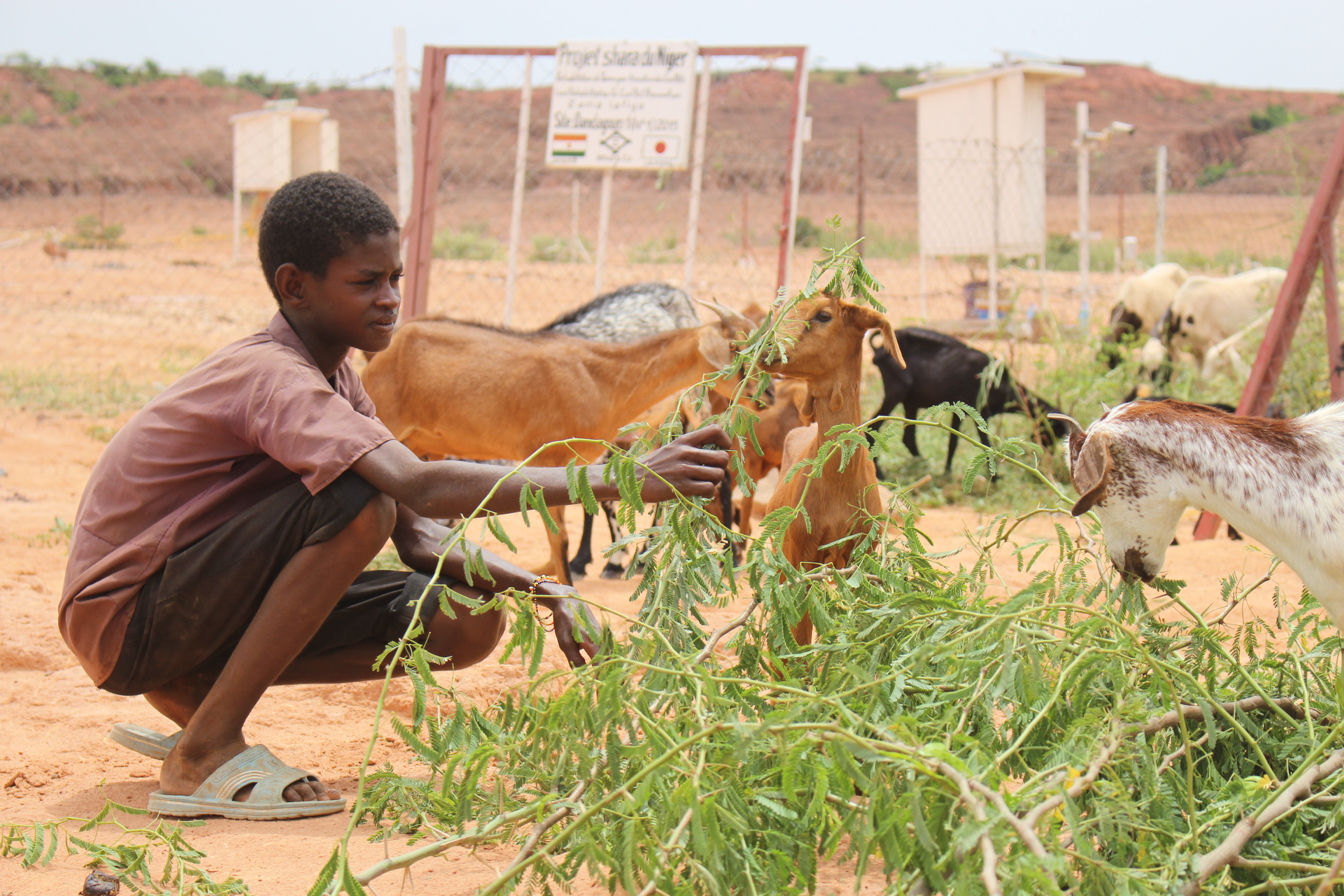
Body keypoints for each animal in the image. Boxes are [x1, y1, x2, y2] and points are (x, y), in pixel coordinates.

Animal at [768, 292, 903, 644]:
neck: (839, 480)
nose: (768, 349)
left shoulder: (859, 558)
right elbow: (798, 641)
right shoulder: (800, 560)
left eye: (823, 315)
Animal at [870, 327, 1069, 480]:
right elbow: (985, 443)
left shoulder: (961, 410)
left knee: (909, 438)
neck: (1000, 382)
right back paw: (880, 473)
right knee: (874, 425)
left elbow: (953, 442)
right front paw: (996, 478)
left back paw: (924, 467)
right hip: (897, 390)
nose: (1047, 454)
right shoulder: (980, 410)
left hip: (910, 401)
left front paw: (947, 473)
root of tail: (878, 350)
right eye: (1052, 429)